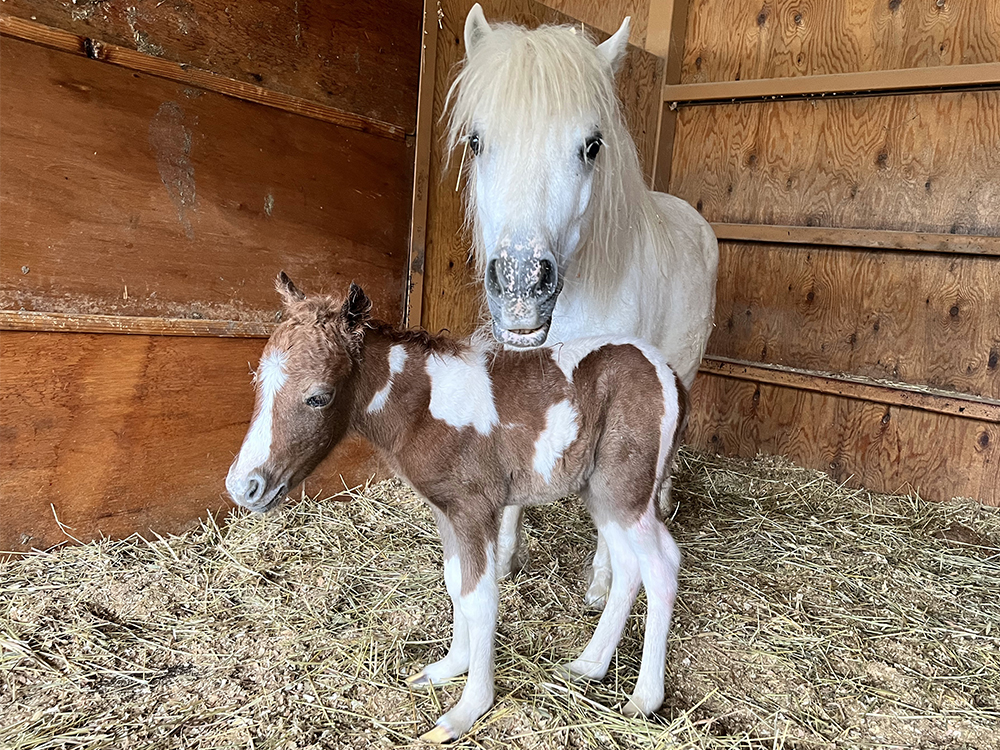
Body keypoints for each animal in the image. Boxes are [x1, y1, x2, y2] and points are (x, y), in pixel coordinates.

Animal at [225, 274, 688, 744]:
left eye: (318, 397)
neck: (423, 407)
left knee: (661, 566)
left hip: (626, 491)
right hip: (602, 495)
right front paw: (448, 668)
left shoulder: (473, 508)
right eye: (258, 381)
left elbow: (479, 598)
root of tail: (670, 375)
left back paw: (644, 699)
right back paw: (587, 666)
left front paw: (466, 710)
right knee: (630, 567)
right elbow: (455, 585)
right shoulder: (445, 509)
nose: (244, 487)